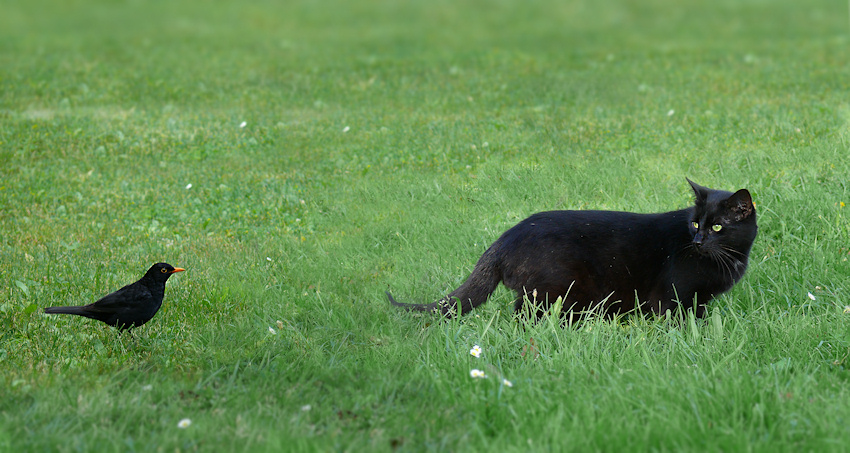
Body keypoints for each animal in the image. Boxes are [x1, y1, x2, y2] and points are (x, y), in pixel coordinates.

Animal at [386, 177, 756, 318]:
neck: (732, 259)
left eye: (717, 227)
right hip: (558, 289)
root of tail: (504, 238)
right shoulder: (675, 297)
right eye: (695, 224)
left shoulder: (699, 301)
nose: (698, 240)